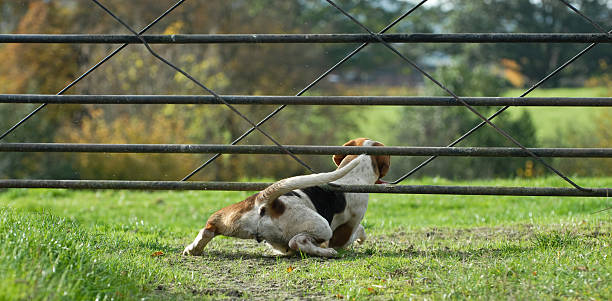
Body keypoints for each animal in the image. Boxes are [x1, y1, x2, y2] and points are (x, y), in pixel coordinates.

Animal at [182, 137, 390, 256]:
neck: (354, 173)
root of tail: (267, 202)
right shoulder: (346, 231)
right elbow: (360, 230)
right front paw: (360, 239)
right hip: (322, 226)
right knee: (298, 242)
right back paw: (327, 252)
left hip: (231, 220)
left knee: (209, 228)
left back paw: (193, 249)